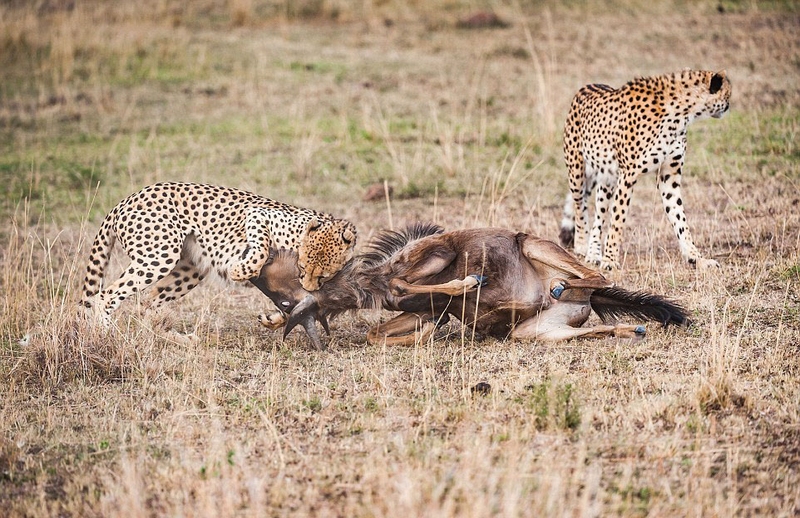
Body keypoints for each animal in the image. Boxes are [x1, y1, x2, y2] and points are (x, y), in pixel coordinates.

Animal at [79, 184, 356, 324]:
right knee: (104, 297)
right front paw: (239, 269)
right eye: (302, 268)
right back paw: (108, 337)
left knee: (149, 304)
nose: (308, 287)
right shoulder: (257, 215)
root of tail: (126, 199)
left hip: (190, 269)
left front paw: (273, 318)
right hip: (160, 256)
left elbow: (291, 305)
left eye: (323, 277)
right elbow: (259, 248)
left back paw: (176, 339)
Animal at [560, 69, 728, 272]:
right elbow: (618, 219)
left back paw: (593, 253)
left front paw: (696, 258)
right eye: (727, 93)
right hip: (577, 171)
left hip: (606, 179)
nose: (728, 106)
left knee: (599, 216)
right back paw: (582, 246)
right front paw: (610, 260)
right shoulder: (628, 174)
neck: (681, 113)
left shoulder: (668, 176)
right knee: (580, 206)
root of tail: (587, 86)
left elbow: (679, 217)